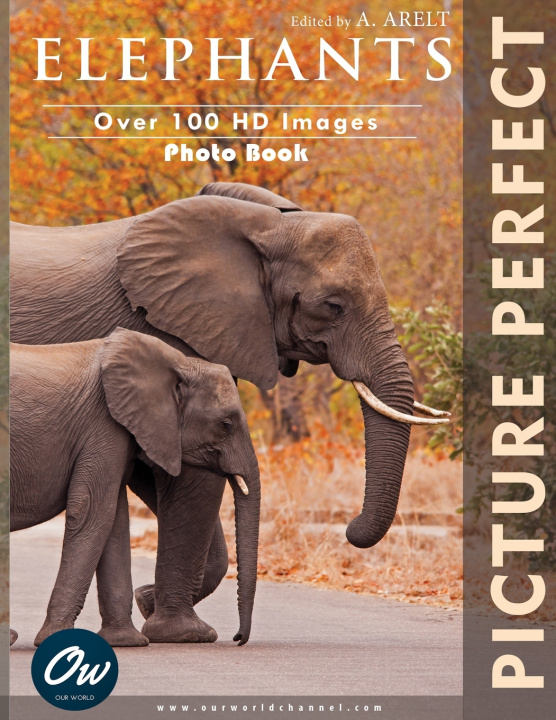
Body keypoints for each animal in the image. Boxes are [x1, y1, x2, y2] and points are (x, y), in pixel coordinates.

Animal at [10, 328, 261, 647]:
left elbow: (115, 520)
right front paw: (55, 640)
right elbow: (92, 510)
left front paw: (126, 641)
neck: (178, 362)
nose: (237, 638)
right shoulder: (103, 425)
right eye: (226, 425)